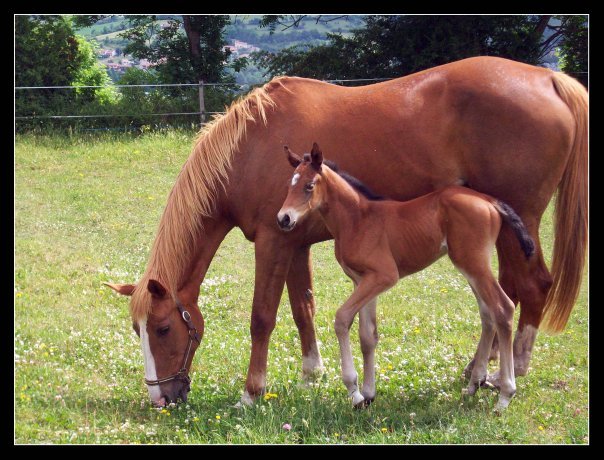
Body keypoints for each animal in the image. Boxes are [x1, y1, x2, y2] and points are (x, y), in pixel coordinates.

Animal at [276, 144, 536, 410]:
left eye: (309, 185)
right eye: (290, 185)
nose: (284, 218)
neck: (358, 219)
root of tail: (490, 200)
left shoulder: (384, 276)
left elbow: (342, 319)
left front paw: (355, 392)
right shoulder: (362, 280)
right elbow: (367, 336)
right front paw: (369, 394)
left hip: (474, 264)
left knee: (503, 308)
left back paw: (505, 395)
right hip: (471, 267)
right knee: (487, 314)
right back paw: (474, 384)